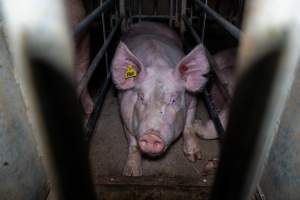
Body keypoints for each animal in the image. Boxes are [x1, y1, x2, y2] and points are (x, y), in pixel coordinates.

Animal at [111, 21, 210, 176]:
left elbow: (188, 126)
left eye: (173, 100)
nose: (151, 135)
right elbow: (133, 143)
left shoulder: (193, 101)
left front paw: (194, 157)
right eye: (141, 98)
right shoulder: (124, 112)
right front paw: (131, 174)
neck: (159, 66)